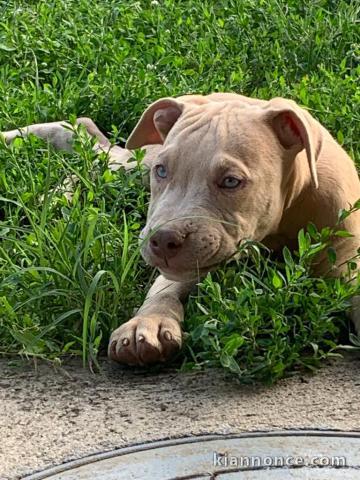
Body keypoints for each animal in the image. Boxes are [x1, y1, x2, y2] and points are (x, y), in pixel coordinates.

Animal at [109, 93, 360, 364]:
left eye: (231, 181)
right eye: (162, 171)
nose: (163, 240)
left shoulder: (346, 257)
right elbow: (164, 288)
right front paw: (147, 322)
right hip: (136, 163)